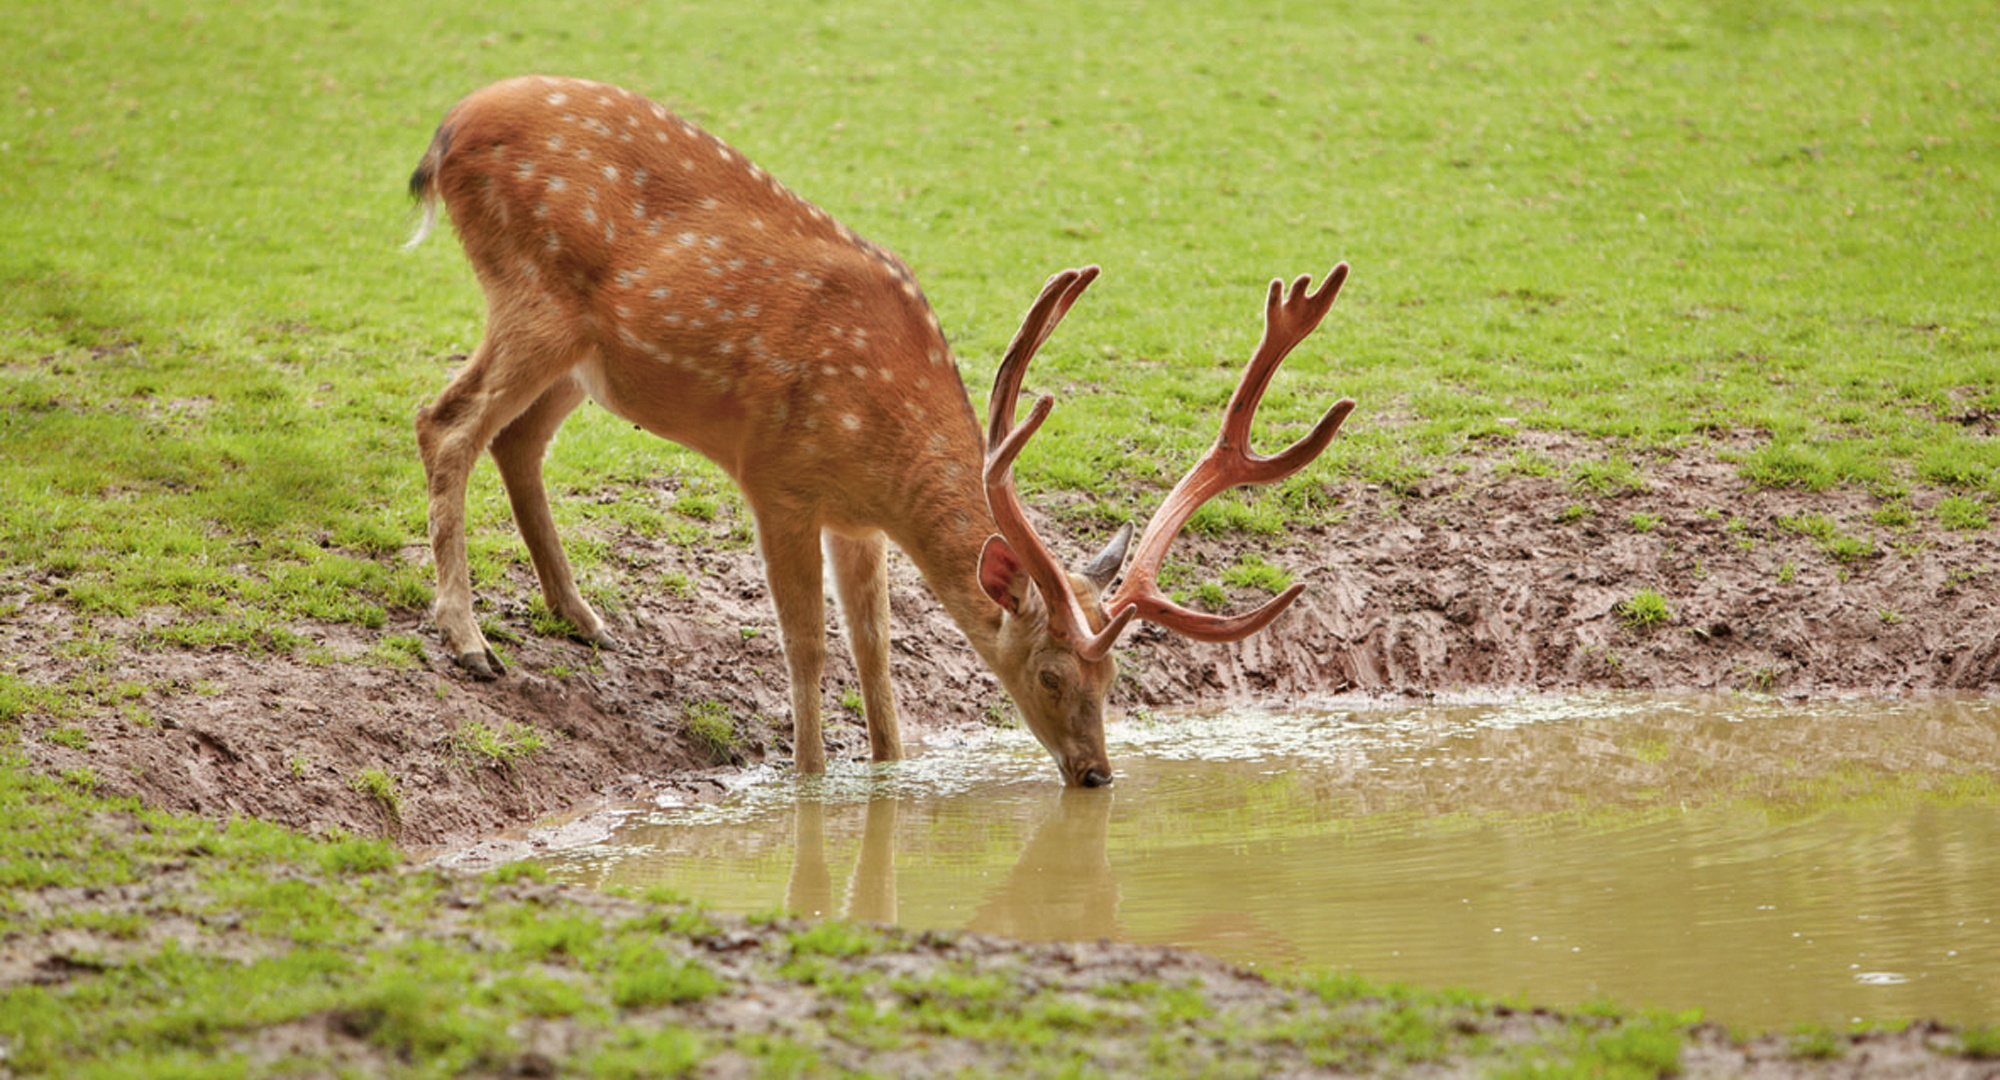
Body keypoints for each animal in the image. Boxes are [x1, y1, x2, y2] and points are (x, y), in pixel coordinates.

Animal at [398, 74, 1352, 784]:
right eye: (1050, 673)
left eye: (1114, 675)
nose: (1095, 774)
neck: (878, 449)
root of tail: (446, 130)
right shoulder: (775, 477)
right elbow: (808, 646)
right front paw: (811, 778)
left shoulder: (856, 521)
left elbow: (877, 653)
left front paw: (891, 769)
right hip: (531, 296)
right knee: (444, 422)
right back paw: (469, 640)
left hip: (586, 360)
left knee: (515, 439)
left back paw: (582, 616)